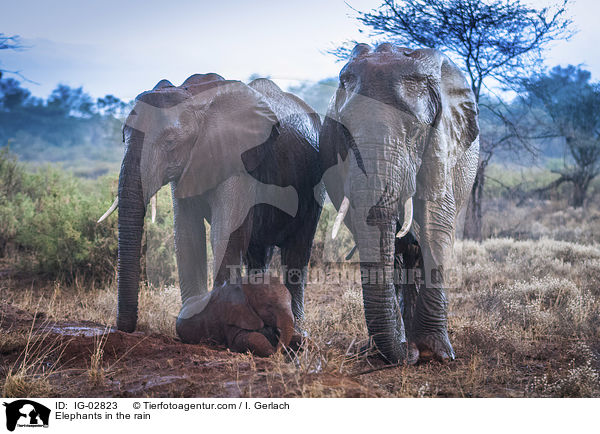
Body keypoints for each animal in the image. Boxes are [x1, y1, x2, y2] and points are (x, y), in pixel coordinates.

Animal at [99, 74, 324, 352]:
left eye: (170, 143)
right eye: (123, 137)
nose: (125, 329)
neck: (196, 100)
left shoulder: (239, 159)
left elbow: (223, 232)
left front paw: (218, 328)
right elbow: (187, 236)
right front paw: (198, 318)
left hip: (314, 186)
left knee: (297, 252)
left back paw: (299, 334)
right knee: (257, 252)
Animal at [318, 43, 478, 362]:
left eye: (415, 129)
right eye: (344, 130)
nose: (407, 354)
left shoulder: (442, 142)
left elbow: (436, 222)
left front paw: (436, 353)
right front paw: (406, 348)